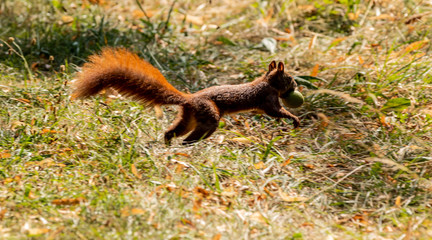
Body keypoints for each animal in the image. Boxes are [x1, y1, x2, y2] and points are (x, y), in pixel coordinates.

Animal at [71, 47, 300, 143]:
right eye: (289, 78)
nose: (296, 84)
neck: (266, 82)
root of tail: (188, 100)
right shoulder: (268, 99)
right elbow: (276, 111)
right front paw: (295, 120)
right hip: (208, 116)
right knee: (192, 135)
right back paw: (189, 145)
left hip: (189, 118)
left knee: (171, 131)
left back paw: (168, 143)